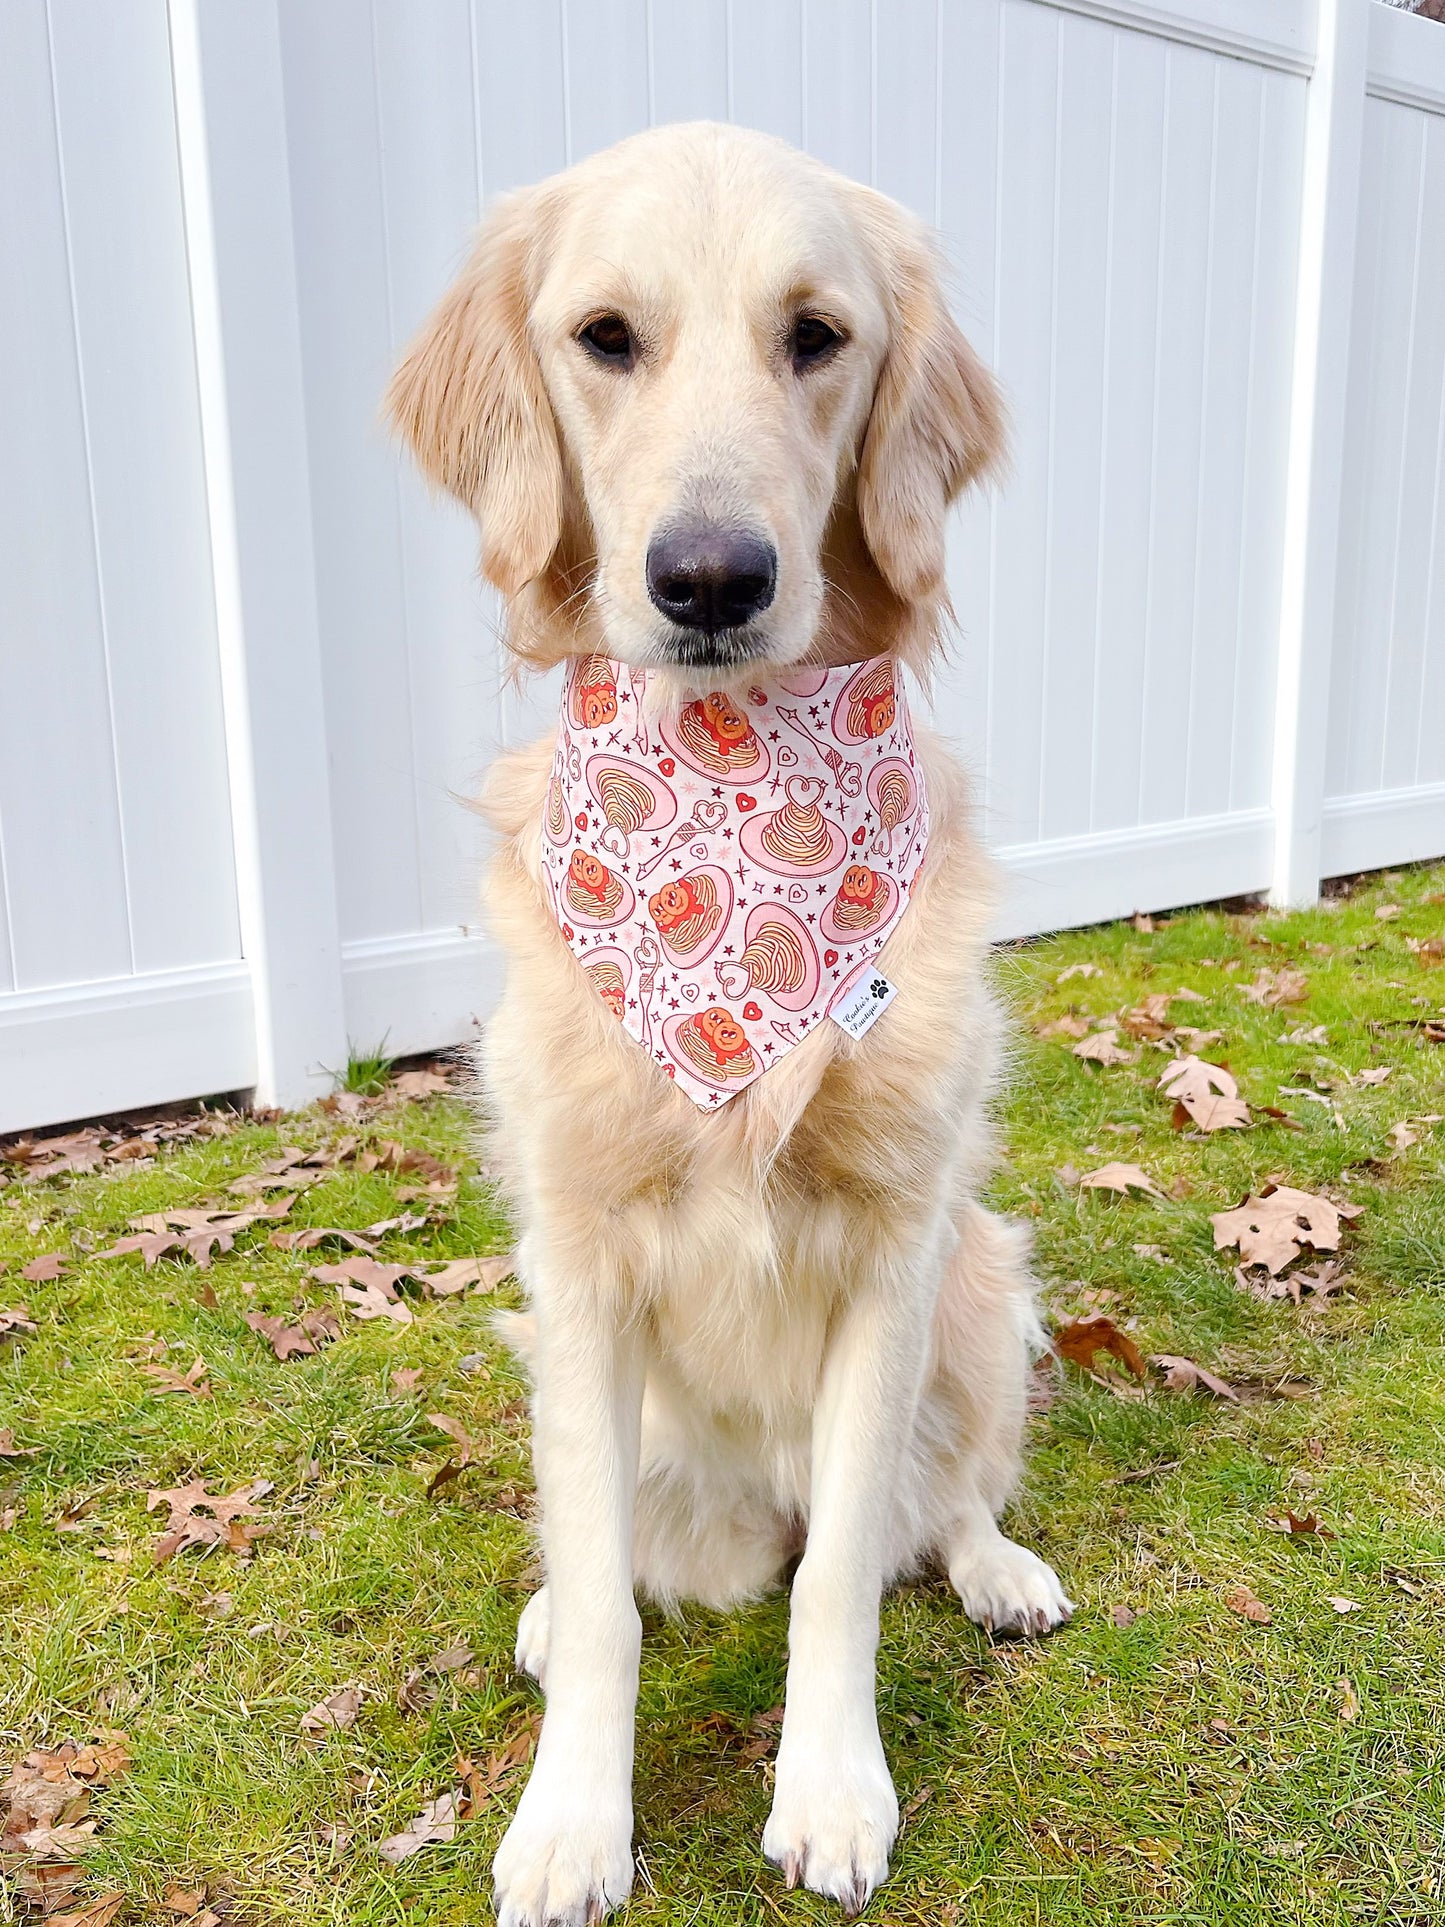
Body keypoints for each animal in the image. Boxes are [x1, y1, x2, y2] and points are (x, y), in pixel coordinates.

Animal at [391, 120, 1071, 1927]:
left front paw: (832, 1791)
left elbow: (842, 1569)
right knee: (617, 1552)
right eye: (605, 336)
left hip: (985, 1286)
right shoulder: (576, 1256)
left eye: (816, 336)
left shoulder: (897, 1244)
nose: (708, 577)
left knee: (935, 1503)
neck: (733, 780)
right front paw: (571, 1820)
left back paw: (998, 1566)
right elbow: (606, 1598)